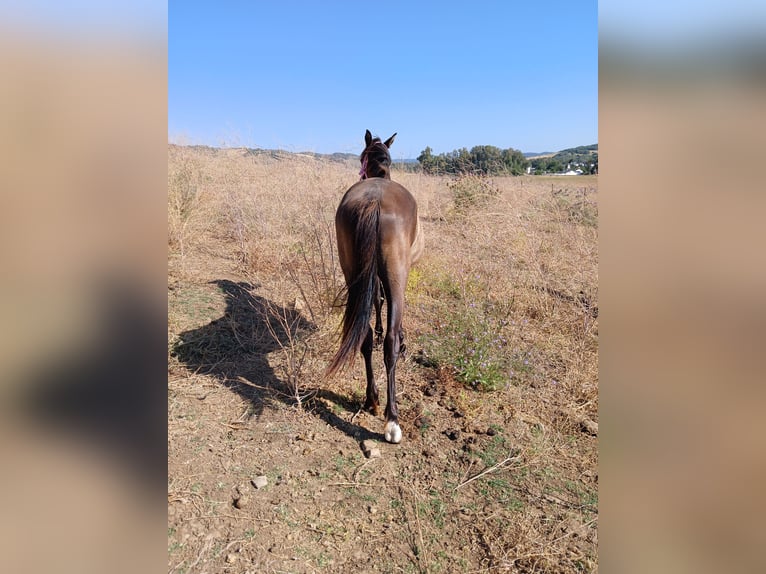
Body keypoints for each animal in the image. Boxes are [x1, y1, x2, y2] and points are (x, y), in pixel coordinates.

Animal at [328, 130, 426, 446]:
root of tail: (375, 202)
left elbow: (377, 303)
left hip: (354, 273)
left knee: (366, 335)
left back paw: (372, 398)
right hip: (396, 274)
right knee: (389, 343)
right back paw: (392, 419)